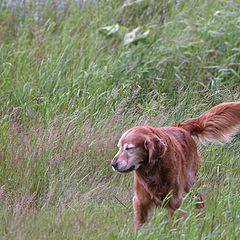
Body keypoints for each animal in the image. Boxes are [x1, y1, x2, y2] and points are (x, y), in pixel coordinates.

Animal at [111, 102, 240, 226]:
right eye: (119, 147)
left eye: (129, 148)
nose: (113, 164)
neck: (153, 170)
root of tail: (180, 126)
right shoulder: (140, 201)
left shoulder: (173, 200)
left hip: (190, 183)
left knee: (199, 204)